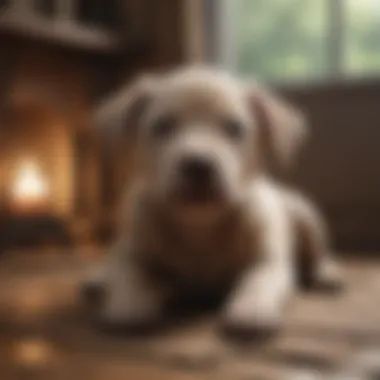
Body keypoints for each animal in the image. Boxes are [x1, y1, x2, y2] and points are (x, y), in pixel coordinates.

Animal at [81, 67, 342, 336]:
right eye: (162, 127)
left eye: (235, 128)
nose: (198, 166)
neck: (200, 224)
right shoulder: (135, 248)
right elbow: (130, 275)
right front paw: (129, 303)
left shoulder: (267, 262)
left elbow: (256, 281)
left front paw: (252, 309)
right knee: (114, 255)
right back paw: (100, 278)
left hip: (305, 215)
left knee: (318, 253)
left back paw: (328, 272)